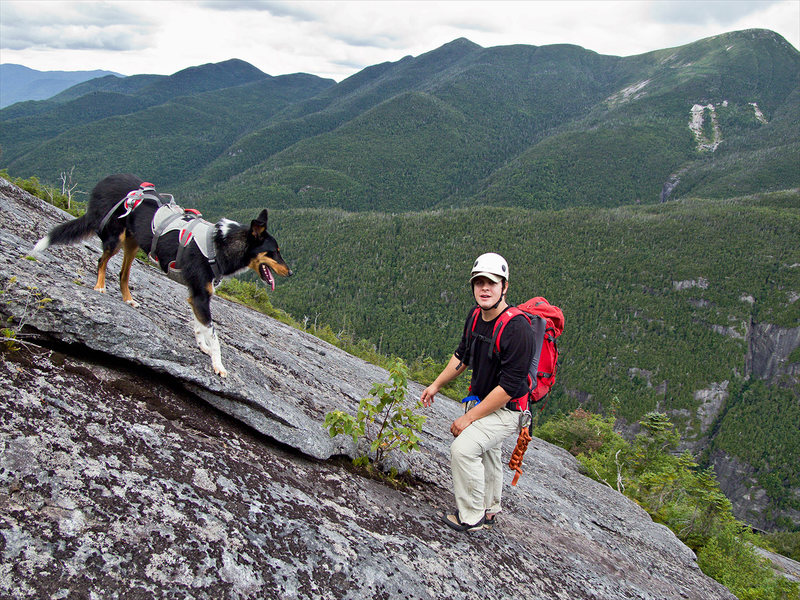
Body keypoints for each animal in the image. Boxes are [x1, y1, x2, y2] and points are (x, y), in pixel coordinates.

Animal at [32, 172, 294, 376]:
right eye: (274, 252)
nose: (290, 272)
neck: (219, 245)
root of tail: (106, 181)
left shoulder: (197, 296)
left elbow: (199, 326)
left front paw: (202, 347)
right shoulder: (200, 296)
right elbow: (214, 335)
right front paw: (218, 364)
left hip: (132, 244)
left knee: (123, 273)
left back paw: (128, 299)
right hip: (115, 238)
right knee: (101, 261)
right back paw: (99, 286)